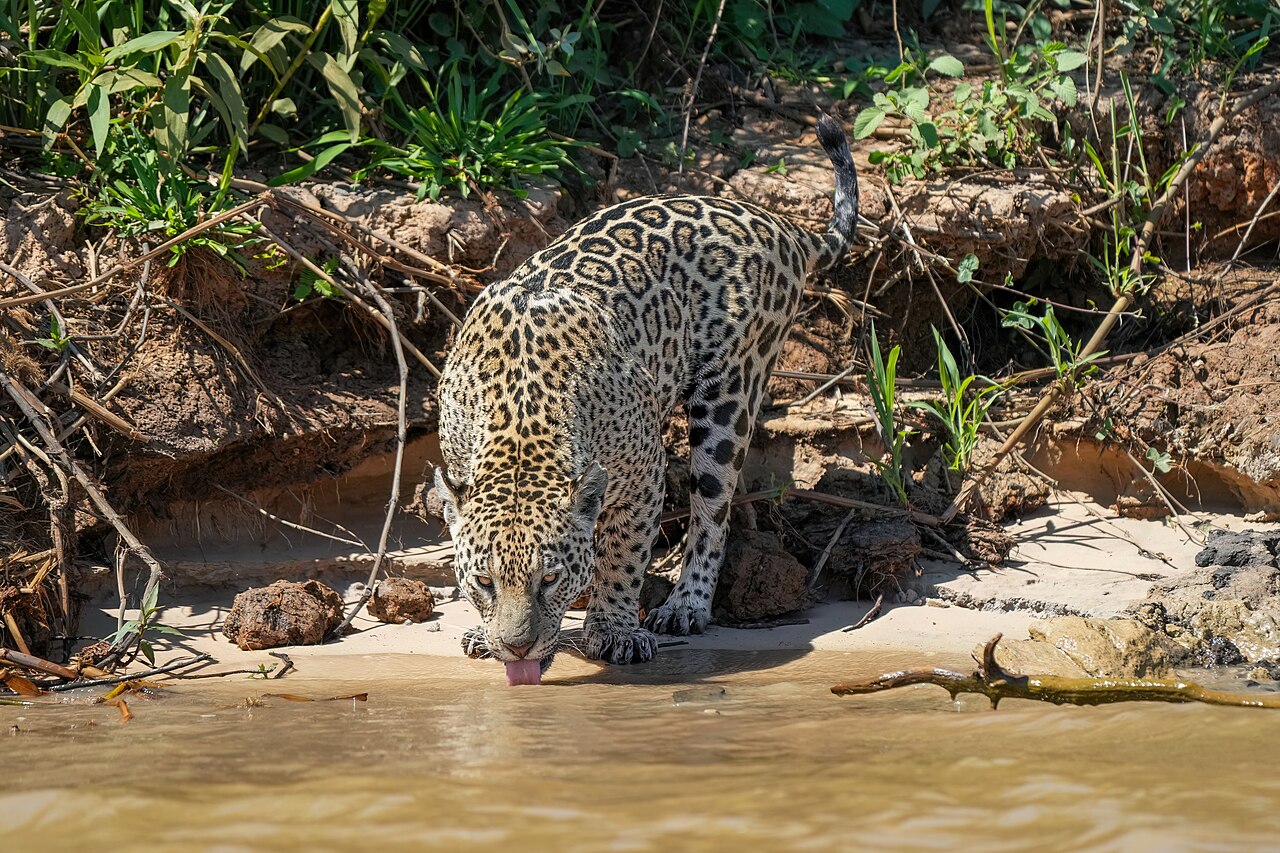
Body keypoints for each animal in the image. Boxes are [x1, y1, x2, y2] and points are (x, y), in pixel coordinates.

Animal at [434, 113, 859, 684]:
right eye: (484, 582)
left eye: (550, 579)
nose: (518, 646)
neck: (521, 419)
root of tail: (774, 220)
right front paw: (485, 634)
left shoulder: (641, 479)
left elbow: (624, 553)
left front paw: (614, 629)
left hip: (728, 398)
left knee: (712, 514)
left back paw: (686, 605)